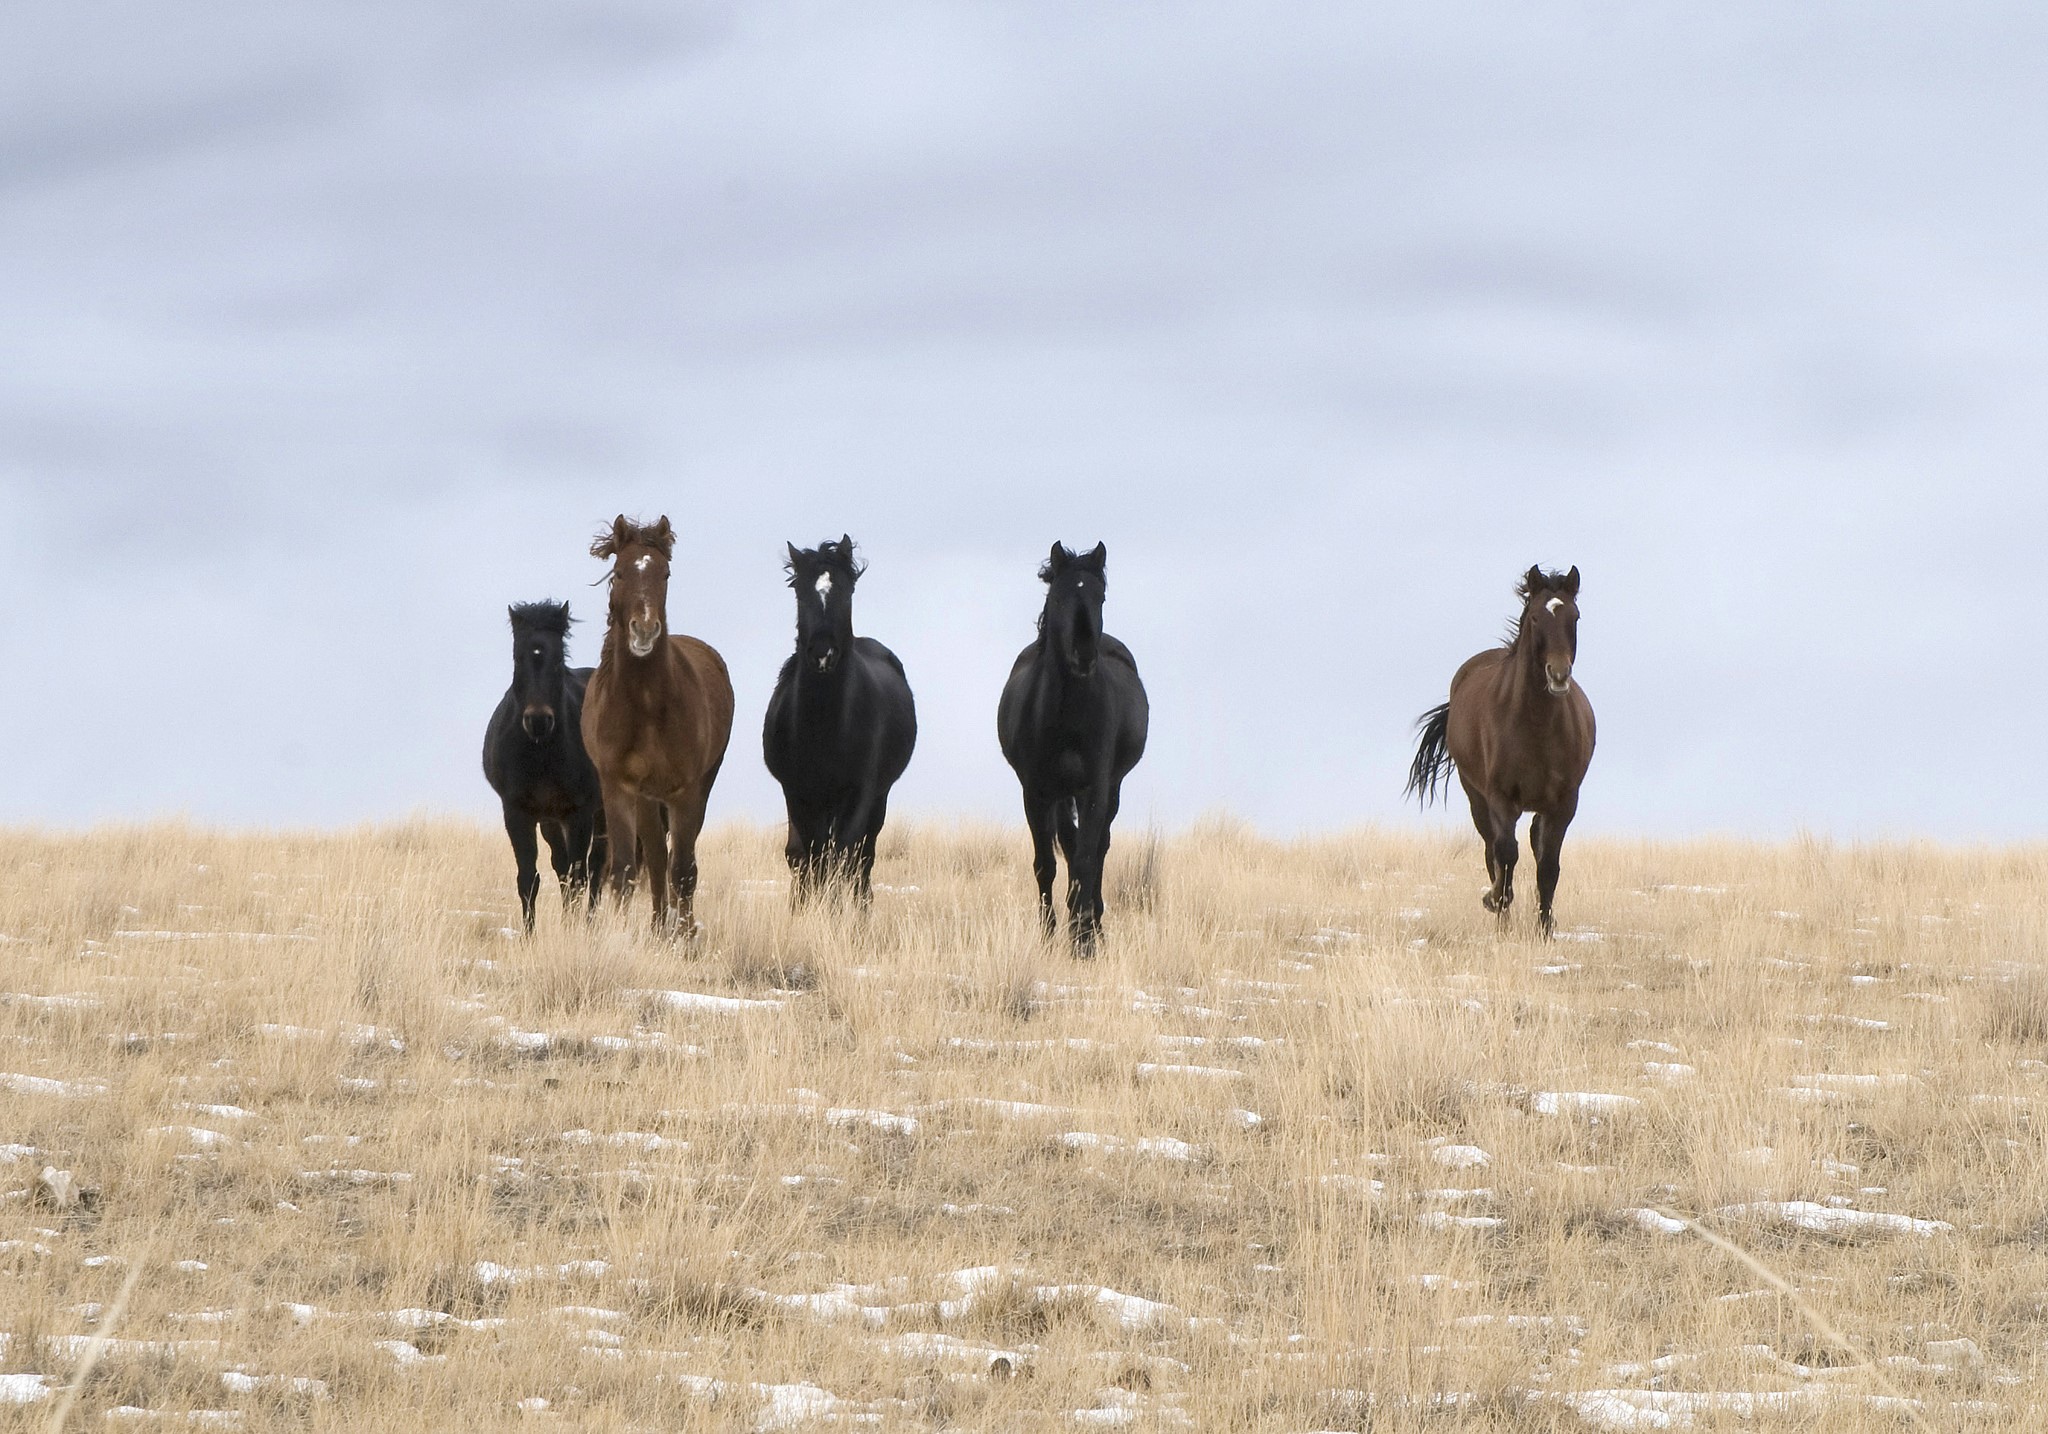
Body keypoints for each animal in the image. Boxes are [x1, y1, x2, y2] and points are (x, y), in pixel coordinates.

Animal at [481, 601, 608, 932]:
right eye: (518, 657)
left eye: (558, 659)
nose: (538, 720)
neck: (541, 752)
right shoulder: (517, 813)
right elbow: (529, 879)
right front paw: (529, 935)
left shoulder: (579, 813)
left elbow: (579, 877)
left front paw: (574, 931)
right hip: (551, 820)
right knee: (562, 867)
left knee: (596, 867)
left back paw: (590, 924)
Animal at [580, 515, 736, 935]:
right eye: (618, 572)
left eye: (665, 574)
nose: (644, 631)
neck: (647, 706)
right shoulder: (618, 787)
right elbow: (624, 871)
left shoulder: (686, 790)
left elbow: (683, 870)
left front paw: (685, 936)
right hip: (647, 799)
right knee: (652, 855)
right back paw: (656, 927)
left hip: (697, 787)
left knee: (673, 861)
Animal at [762, 536, 917, 905]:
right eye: (799, 592)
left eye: (847, 592)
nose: (822, 653)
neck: (825, 726)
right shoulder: (799, 793)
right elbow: (809, 856)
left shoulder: (858, 793)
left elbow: (843, 855)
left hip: (876, 799)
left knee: (861, 857)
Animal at [997, 541, 1149, 953]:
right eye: (1060, 596)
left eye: (1101, 596)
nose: (1084, 654)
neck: (1065, 715)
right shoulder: (1036, 792)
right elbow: (1046, 863)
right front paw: (1050, 935)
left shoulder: (1094, 788)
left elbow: (1085, 858)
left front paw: (1084, 940)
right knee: (1068, 843)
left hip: (1108, 788)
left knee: (1097, 850)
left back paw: (1092, 922)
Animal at [1406, 565, 1596, 937]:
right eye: (1535, 617)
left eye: (1576, 617)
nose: (1559, 674)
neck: (1536, 725)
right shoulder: (1500, 798)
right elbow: (1505, 853)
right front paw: (1495, 901)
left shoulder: (1564, 803)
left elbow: (1548, 865)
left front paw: (1546, 929)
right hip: (1476, 797)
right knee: (1491, 848)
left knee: (1534, 844)